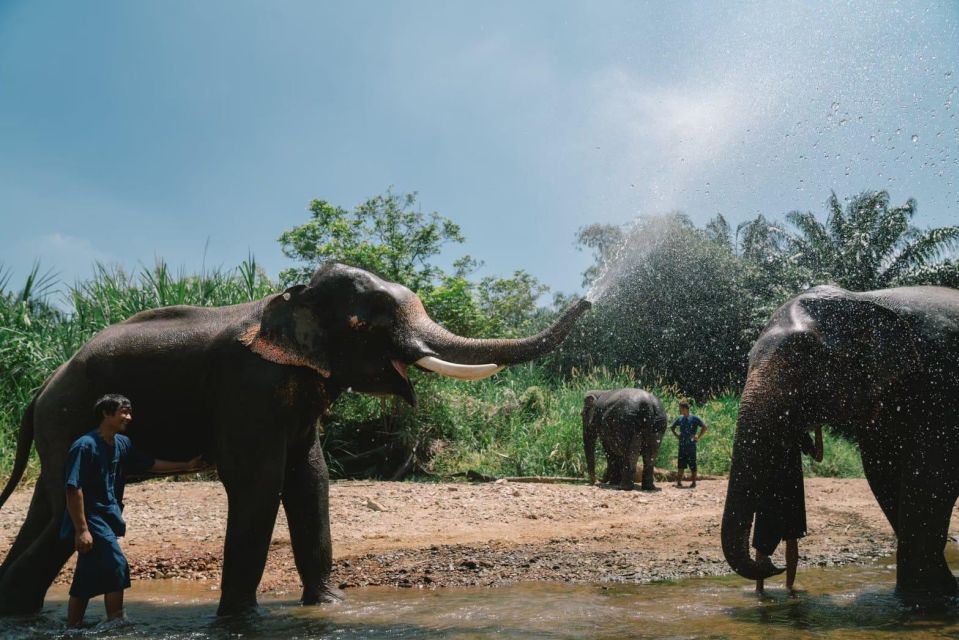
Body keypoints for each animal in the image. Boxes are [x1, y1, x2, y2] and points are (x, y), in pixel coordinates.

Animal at [720, 284, 959, 600]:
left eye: (806, 362)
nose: (773, 566)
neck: (863, 299)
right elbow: (882, 471)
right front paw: (934, 591)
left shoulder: (942, 382)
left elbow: (932, 474)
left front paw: (931, 597)